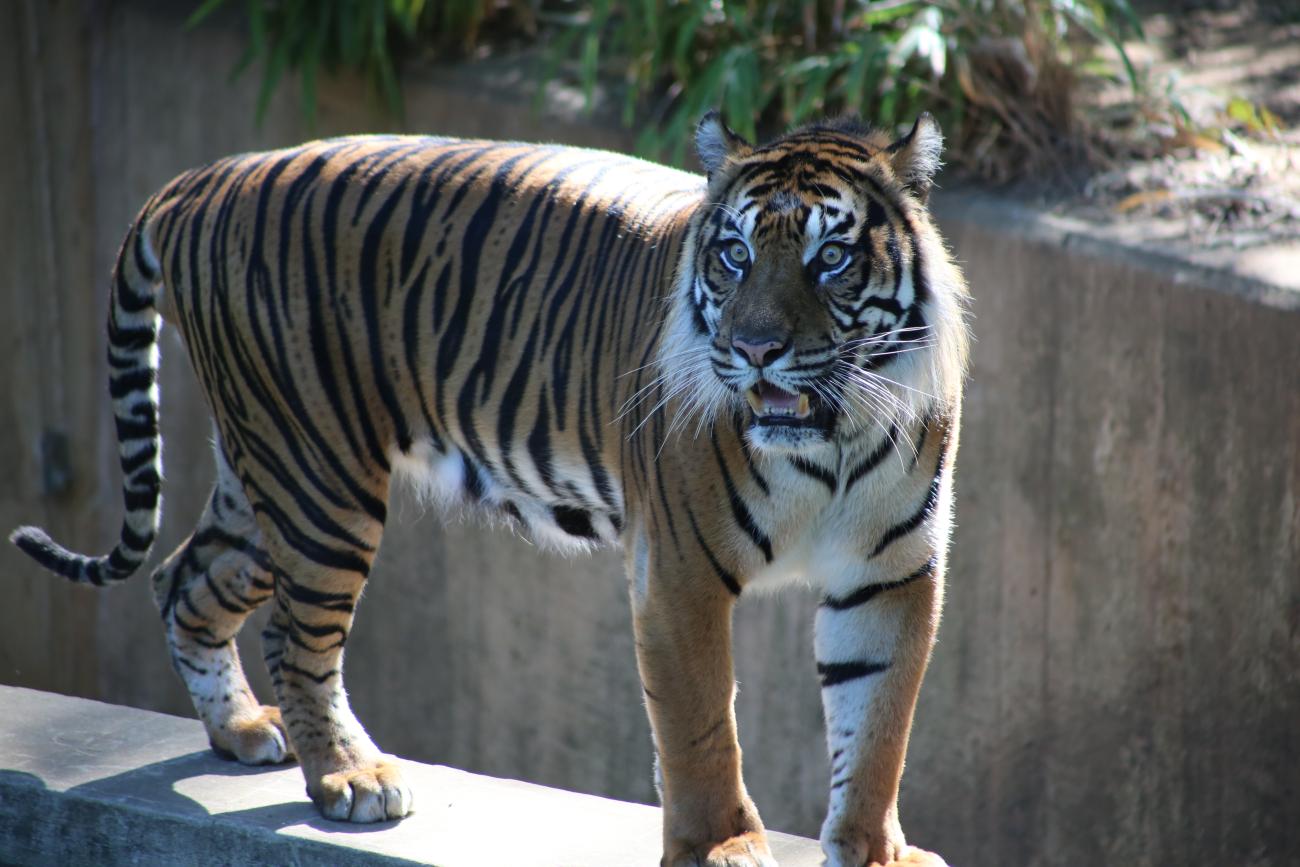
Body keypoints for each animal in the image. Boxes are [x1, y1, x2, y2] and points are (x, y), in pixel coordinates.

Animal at [10, 113, 967, 867]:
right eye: (734, 255)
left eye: (831, 258)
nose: (756, 348)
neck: (831, 440)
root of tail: (201, 180)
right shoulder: (680, 572)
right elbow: (701, 725)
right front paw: (721, 847)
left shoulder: (891, 573)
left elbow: (879, 724)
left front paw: (875, 852)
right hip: (318, 479)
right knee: (293, 632)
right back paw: (350, 775)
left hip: (262, 481)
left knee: (183, 580)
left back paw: (242, 730)